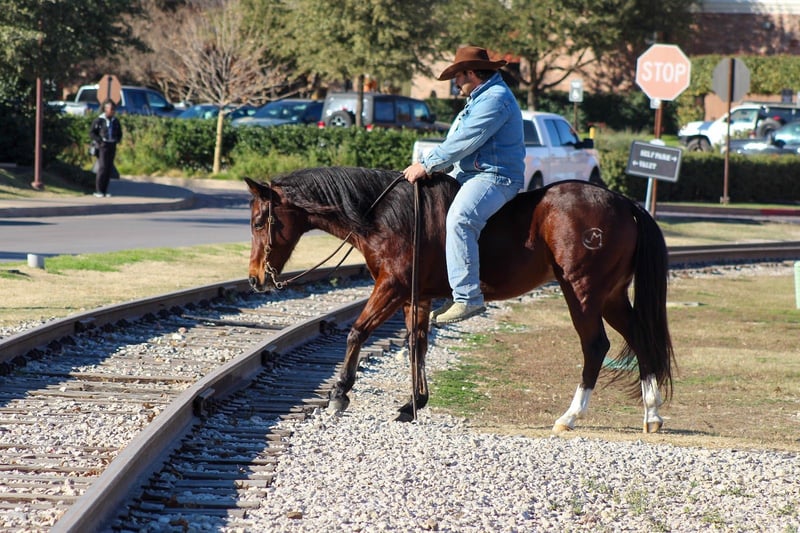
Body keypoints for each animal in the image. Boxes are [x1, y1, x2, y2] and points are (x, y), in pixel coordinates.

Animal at [245, 167, 675, 433]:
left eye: (258, 221)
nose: (254, 278)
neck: (385, 216)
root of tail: (626, 204)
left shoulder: (392, 287)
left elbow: (357, 332)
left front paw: (339, 394)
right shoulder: (415, 299)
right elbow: (416, 345)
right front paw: (414, 403)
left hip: (582, 292)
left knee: (596, 346)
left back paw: (570, 416)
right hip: (611, 296)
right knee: (640, 338)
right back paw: (652, 412)